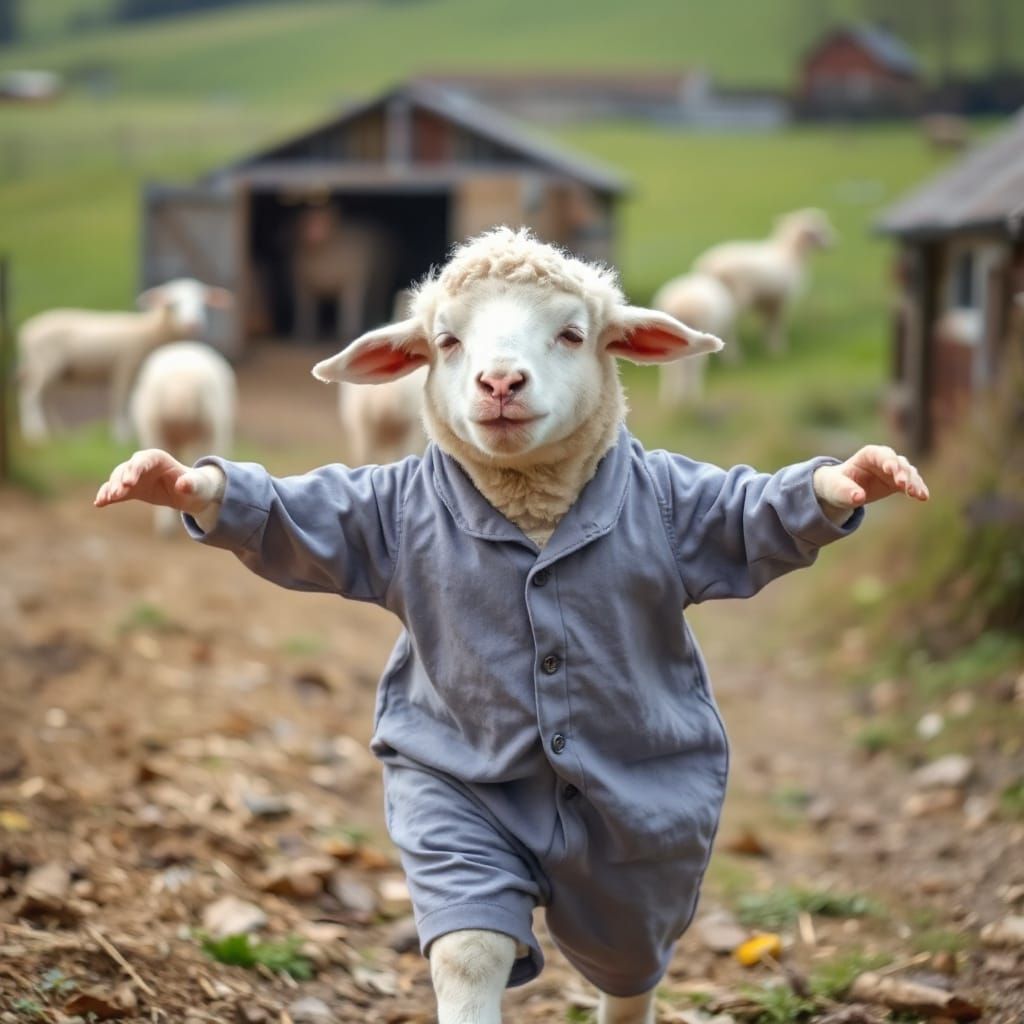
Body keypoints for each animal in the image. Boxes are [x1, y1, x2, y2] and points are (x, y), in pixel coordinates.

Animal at [16, 278, 232, 443]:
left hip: (57, 371)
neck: (149, 330)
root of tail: (26, 330)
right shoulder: (125, 364)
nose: (194, 324)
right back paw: (35, 432)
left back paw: (58, 431)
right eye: (172, 304)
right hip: (45, 363)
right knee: (31, 395)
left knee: (47, 396)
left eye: (202, 303)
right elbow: (120, 398)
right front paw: (121, 434)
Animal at [650, 272, 736, 406]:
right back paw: (691, 395)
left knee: (671, 367)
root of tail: (683, 307)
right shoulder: (727, 326)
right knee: (692, 365)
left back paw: (670, 396)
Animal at [694, 208, 835, 355]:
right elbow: (776, 325)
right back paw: (733, 354)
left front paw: (767, 344)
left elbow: (766, 324)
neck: (790, 255)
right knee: (730, 325)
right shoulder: (782, 300)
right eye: (820, 231)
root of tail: (708, 266)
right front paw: (778, 348)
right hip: (737, 298)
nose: (833, 245)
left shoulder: (767, 302)